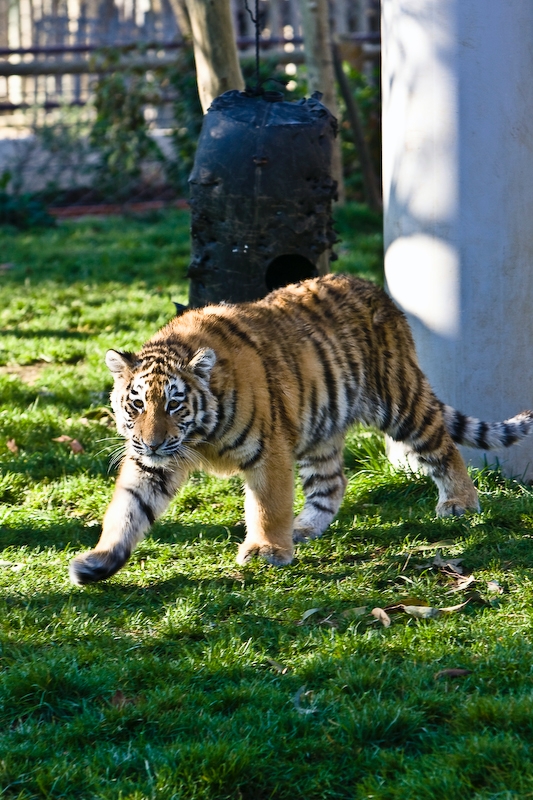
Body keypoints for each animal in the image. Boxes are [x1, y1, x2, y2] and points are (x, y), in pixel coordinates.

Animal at [69, 273, 533, 585]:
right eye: (137, 404)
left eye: (174, 404)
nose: (151, 442)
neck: (198, 436)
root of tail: (375, 288)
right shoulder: (153, 466)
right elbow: (127, 510)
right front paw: (98, 561)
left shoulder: (268, 449)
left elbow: (267, 505)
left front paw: (267, 550)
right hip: (319, 430)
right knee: (332, 483)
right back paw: (304, 528)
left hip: (399, 403)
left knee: (441, 443)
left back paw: (459, 503)